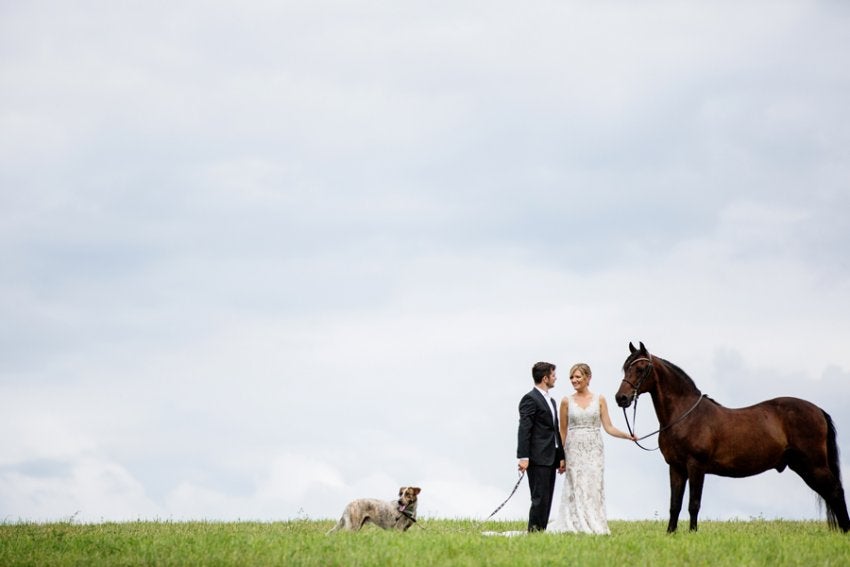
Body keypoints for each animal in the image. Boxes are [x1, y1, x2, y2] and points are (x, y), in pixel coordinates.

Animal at [612, 344, 844, 536]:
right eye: (625, 368)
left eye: (641, 368)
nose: (621, 398)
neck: (684, 415)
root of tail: (818, 410)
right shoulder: (676, 467)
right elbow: (674, 504)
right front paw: (671, 534)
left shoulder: (696, 466)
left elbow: (693, 503)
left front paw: (692, 534)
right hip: (803, 466)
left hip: (814, 465)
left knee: (835, 490)